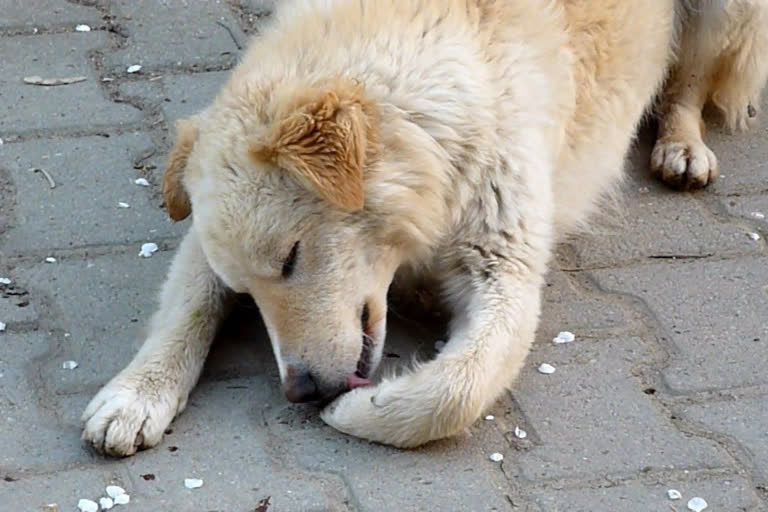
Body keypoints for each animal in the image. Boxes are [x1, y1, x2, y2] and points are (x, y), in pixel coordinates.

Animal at [81, 0, 768, 456]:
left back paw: (681, 145)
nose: (301, 392)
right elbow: (188, 308)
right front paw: (136, 394)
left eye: (293, 257)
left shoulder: (506, 270)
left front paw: (360, 410)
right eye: (248, 288)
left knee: (688, 83)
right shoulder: (202, 242)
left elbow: (456, 390)